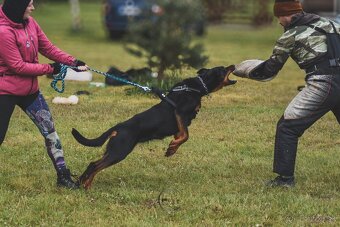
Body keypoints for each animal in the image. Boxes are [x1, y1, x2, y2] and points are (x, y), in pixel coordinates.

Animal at [72, 64, 234, 189]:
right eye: (222, 69)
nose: (232, 65)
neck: (196, 87)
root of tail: (117, 127)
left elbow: (182, 136)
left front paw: (172, 148)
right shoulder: (180, 112)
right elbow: (186, 136)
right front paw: (172, 148)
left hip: (113, 150)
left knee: (93, 164)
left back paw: (82, 183)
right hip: (119, 151)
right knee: (95, 166)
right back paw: (86, 185)